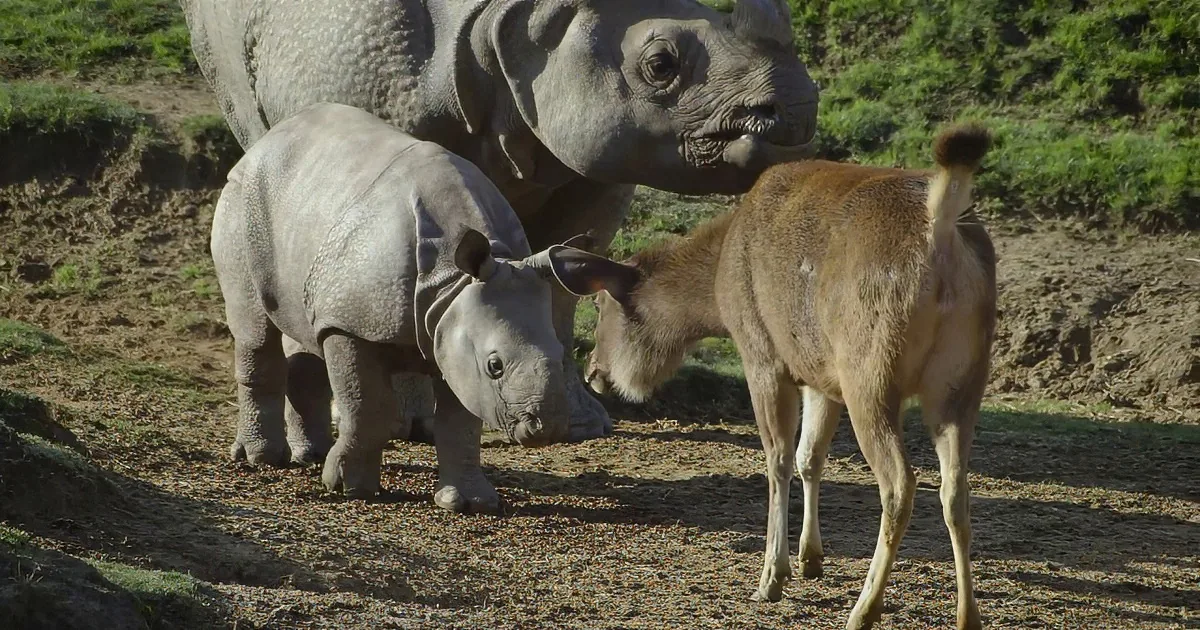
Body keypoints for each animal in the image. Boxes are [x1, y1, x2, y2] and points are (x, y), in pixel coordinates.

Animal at [181, 0, 820, 451]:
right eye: (660, 66)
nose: (797, 111)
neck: (527, 23)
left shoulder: (597, 158)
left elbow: (562, 279)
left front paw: (580, 423)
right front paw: (413, 419)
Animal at [210, 103, 629, 512]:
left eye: (560, 355)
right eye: (495, 366)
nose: (545, 429)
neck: (451, 281)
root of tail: (268, 139)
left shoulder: (452, 331)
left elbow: (460, 422)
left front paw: (468, 503)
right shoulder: (352, 323)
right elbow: (365, 406)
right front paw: (349, 488)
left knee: (305, 326)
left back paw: (310, 456)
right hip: (244, 199)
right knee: (255, 329)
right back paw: (263, 459)